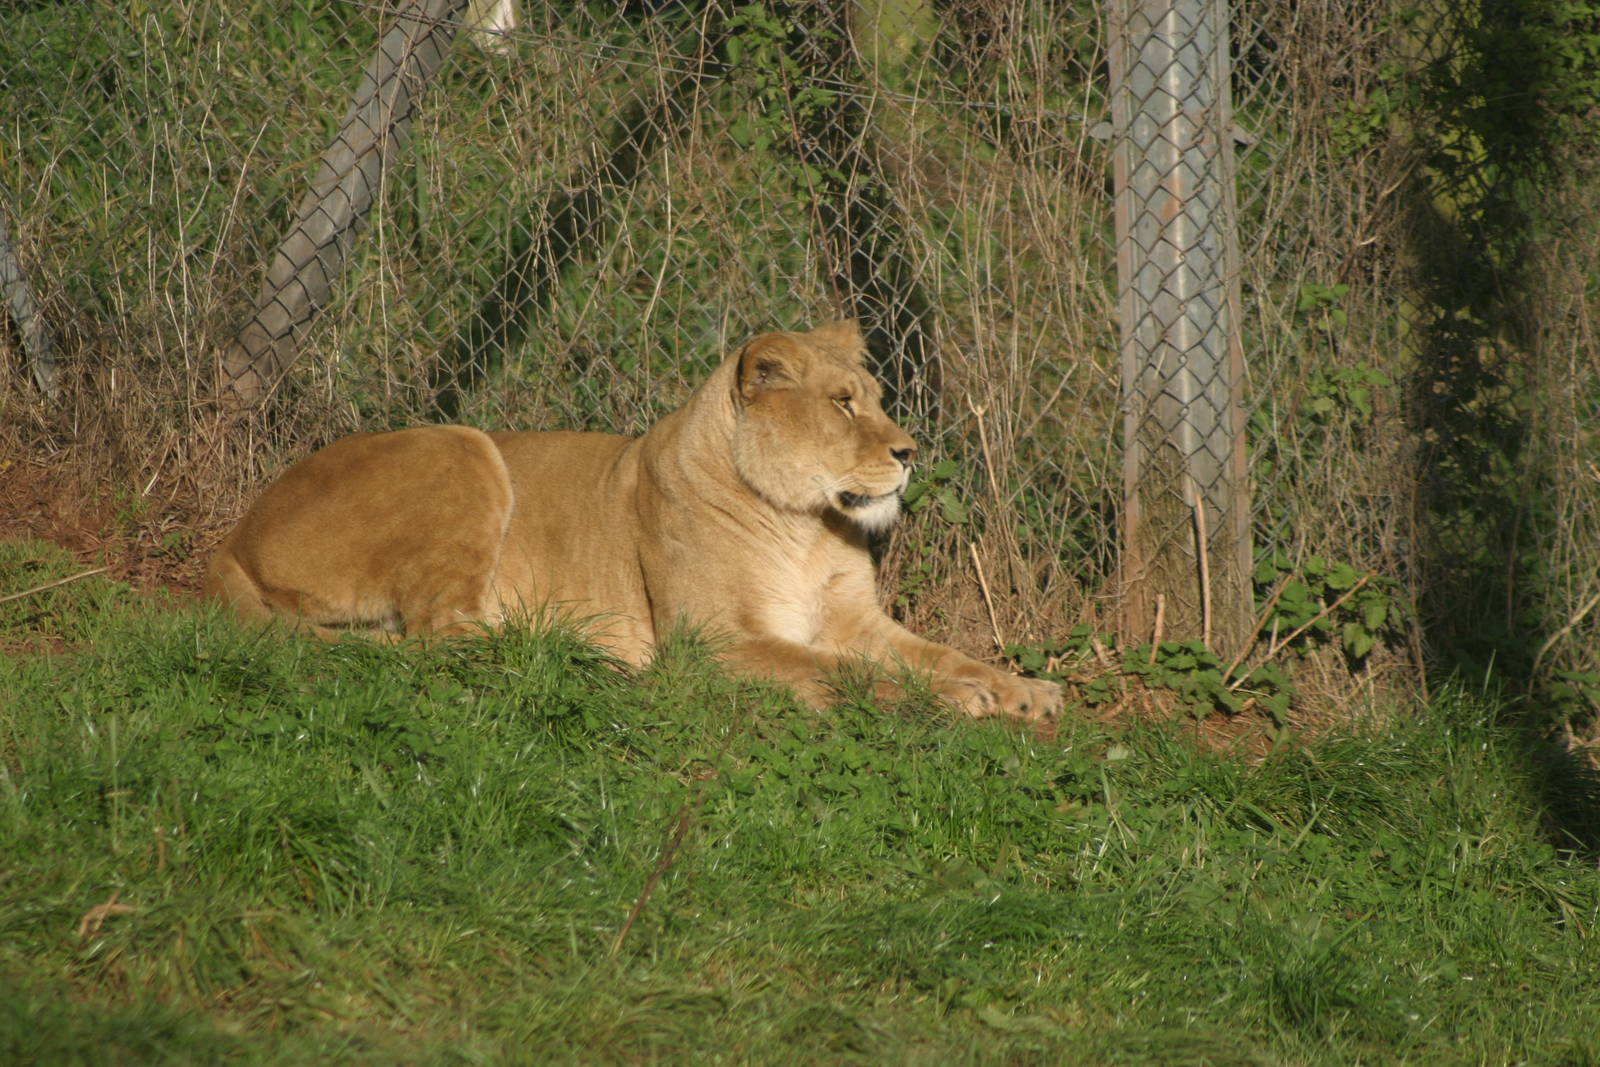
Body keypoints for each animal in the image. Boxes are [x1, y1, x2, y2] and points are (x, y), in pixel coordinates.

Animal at [205, 321, 1061, 721]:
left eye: (878, 398)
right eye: (843, 404)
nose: (911, 451)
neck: (807, 525)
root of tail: (235, 536)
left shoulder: (853, 617)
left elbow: (940, 652)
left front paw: (1024, 690)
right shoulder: (714, 640)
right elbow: (840, 672)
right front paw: (955, 700)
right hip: (462, 445)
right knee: (439, 636)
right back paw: (581, 652)